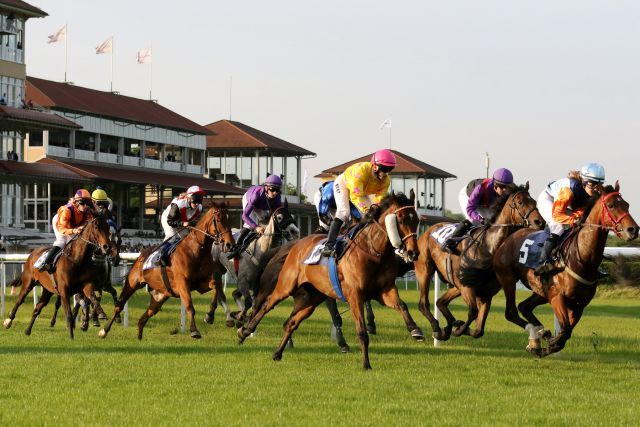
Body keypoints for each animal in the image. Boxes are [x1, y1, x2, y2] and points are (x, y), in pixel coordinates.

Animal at [2, 214, 116, 342]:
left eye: (108, 228)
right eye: (96, 227)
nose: (107, 247)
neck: (77, 260)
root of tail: (33, 252)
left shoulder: (86, 286)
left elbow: (92, 298)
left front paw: (99, 315)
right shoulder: (64, 290)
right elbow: (69, 315)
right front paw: (71, 337)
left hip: (47, 290)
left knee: (37, 308)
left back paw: (27, 330)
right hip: (28, 283)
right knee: (19, 300)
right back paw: (8, 321)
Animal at [97, 204, 232, 342]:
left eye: (230, 220)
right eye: (219, 220)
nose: (229, 244)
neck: (196, 250)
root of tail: (140, 256)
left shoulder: (200, 284)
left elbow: (215, 286)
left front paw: (209, 316)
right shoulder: (182, 284)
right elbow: (189, 306)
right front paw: (194, 331)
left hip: (160, 295)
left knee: (146, 315)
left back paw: (139, 336)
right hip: (132, 284)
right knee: (119, 305)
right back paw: (104, 331)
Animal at [238, 195, 422, 372]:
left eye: (416, 220)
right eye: (401, 219)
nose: (413, 252)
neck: (373, 250)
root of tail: (297, 245)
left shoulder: (384, 290)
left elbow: (402, 305)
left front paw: (415, 329)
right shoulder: (355, 296)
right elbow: (361, 332)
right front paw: (366, 364)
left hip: (310, 299)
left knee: (291, 323)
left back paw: (277, 353)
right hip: (286, 286)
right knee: (266, 305)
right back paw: (244, 331)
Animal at [416, 183, 544, 342]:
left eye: (534, 202)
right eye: (520, 202)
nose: (540, 222)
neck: (488, 247)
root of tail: (428, 231)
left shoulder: (485, 294)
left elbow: (478, 330)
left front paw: (458, 327)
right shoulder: (467, 287)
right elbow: (473, 312)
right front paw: (458, 330)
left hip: (456, 285)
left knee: (440, 302)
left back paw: (449, 326)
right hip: (425, 270)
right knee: (423, 304)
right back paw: (437, 329)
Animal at [492, 183, 636, 358]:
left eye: (627, 205)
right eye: (611, 205)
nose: (633, 229)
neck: (580, 258)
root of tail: (511, 236)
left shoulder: (579, 305)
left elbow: (566, 333)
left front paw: (547, 345)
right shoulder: (557, 297)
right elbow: (565, 330)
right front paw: (549, 343)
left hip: (541, 291)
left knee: (524, 307)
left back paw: (539, 334)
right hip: (508, 278)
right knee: (511, 311)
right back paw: (538, 334)